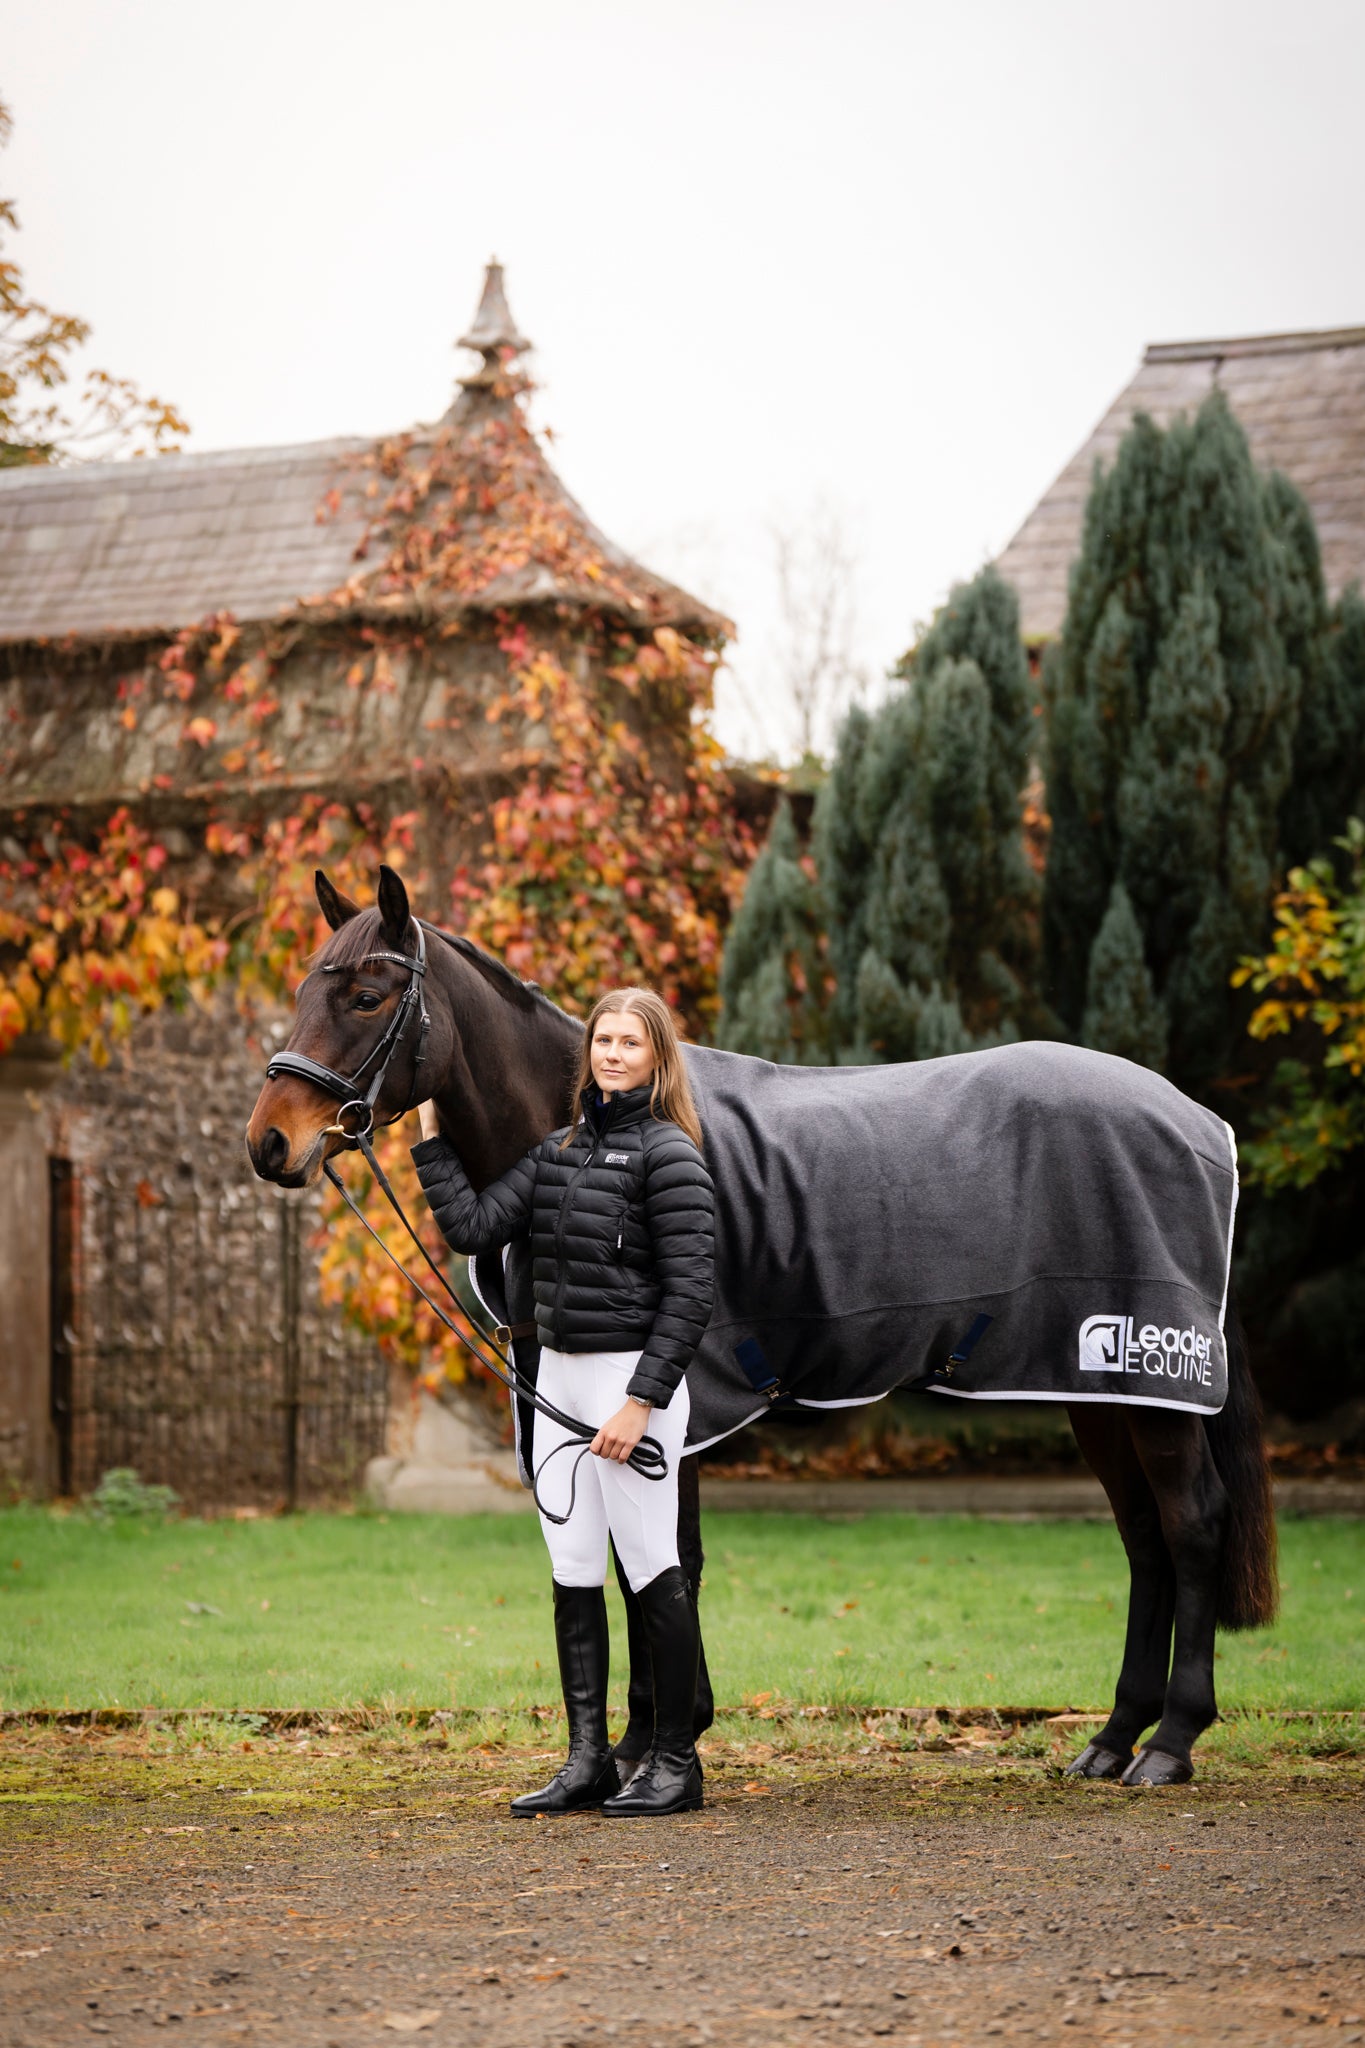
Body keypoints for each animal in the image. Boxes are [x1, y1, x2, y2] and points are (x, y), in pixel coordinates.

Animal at [246, 866, 1278, 1788]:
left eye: (367, 994)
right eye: (301, 988)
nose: (269, 1142)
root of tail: (1197, 1123)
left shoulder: (673, 1403)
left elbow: (664, 1562)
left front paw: (658, 1748)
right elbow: (635, 1565)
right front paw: (641, 1747)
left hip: (1147, 1381)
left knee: (1188, 1526)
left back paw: (1167, 1746)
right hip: (1094, 1387)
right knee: (1142, 1537)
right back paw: (1109, 1740)